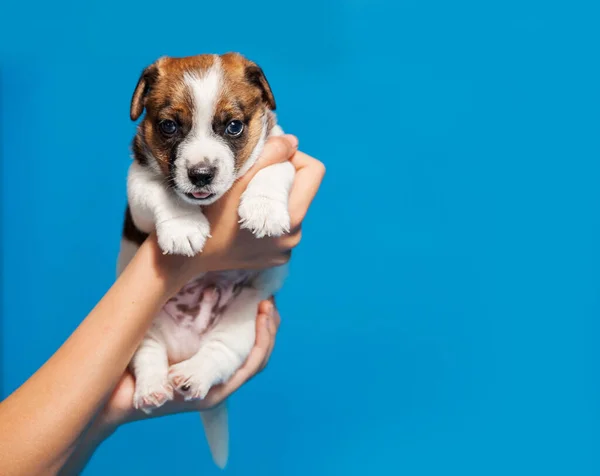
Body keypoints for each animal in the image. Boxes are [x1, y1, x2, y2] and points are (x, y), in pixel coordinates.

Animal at [116, 53, 294, 468]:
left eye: (233, 126)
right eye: (169, 126)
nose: (201, 174)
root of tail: (185, 345)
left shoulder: (281, 149)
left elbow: (272, 168)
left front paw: (263, 209)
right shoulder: (137, 189)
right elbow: (159, 190)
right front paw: (183, 225)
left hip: (242, 321)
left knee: (220, 352)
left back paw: (194, 374)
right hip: (140, 328)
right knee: (148, 354)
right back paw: (152, 387)